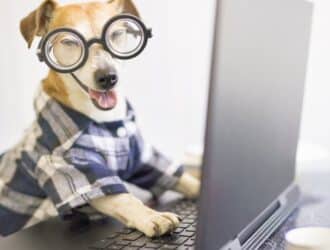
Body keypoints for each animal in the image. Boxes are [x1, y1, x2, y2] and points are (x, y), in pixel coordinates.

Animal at [0, 0, 201, 238]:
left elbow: (180, 177)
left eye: (116, 33)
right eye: (69, 41)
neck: (106, 121)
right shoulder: (70, 169)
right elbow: (124, 199)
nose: (107, 77)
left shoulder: (141, 156)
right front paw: (152, 215)